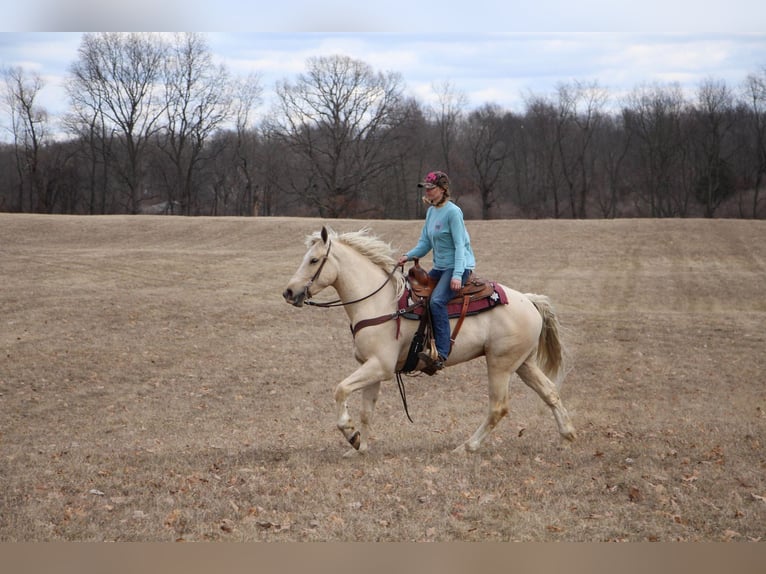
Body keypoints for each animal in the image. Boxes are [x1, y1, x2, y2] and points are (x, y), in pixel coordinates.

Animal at [284, 227, 576, 456]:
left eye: (313, 260)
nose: (288, 291)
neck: (380, 302)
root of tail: (529, 299)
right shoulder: (372, 367)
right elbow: (367, 410)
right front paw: (360, 447)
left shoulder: (380, 367)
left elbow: (341, 389)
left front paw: (349, 431)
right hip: (523, 363)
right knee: (550, 392)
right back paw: (567, 437)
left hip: (500, 364)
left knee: (498, 407)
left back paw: (467, 447)